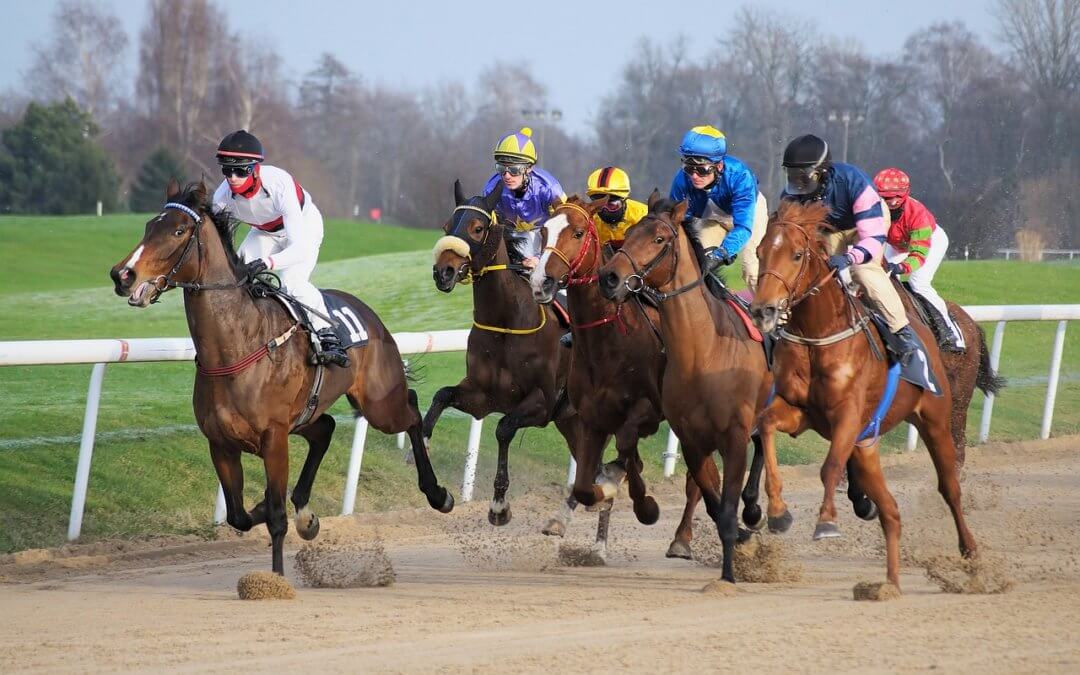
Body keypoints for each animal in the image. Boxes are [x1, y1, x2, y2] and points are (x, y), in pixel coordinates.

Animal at [106, 180, 451, 574]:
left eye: (179, 230)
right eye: (150, 225)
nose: (123, 274)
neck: (236, 347)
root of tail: (370, 315)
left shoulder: (274, 439)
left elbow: (275, 517)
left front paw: (277, 574)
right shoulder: (221, 443)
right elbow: (240, 515)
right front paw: (286, 513)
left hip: (379, 404)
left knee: (410, 410)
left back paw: (438, 493)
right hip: (306, 416)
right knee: (326, 428)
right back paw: (305, 510)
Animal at [427, 181, 591, 529]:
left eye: (477, 228)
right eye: (447, 226)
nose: (443, 272)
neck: (507, 322)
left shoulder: (542, 402)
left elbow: (503, 428)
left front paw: (500, 506)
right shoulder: (482, 396)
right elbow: (441, 395)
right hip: (570, 420)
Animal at [600, 197, 777, 583]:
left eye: (660, 239)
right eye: (629, 233)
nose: (609, 277)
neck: (703, 352)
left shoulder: (734, 436)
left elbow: (725, 503)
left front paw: (729, 576)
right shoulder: (692, 437)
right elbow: (713, 502)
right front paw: (738, 545)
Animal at [751, 197, 980, 587]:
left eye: (796, 255)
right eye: (759, 251)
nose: (763, 310)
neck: (818, 335)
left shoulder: (848, 414)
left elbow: (829, 466)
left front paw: (827, 522)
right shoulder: (799, 411)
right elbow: (766, 427)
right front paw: (779, 513)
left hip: (938, 419)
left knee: (950, 486)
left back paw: (970, 551)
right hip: (867, 443)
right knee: (889, 507)